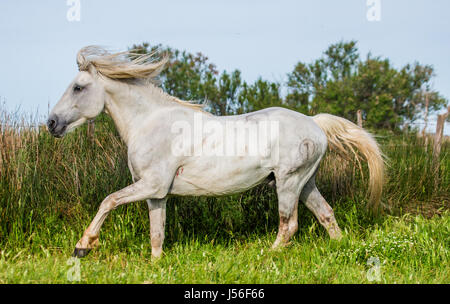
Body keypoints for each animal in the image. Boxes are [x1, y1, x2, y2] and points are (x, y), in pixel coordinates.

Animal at [47, 46, 384, 258]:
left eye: (78, 87)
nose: (52, 123)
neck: (149, 123)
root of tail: (314, 122)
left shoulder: (151, 185)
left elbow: (108, 200)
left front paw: (83, 246)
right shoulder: (157, 193)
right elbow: (157, 233)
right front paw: (156, 264)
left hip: (289, 182)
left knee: (289, 225)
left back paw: (266, 255)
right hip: (305, 183)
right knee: (326, 215)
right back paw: (342, 249)